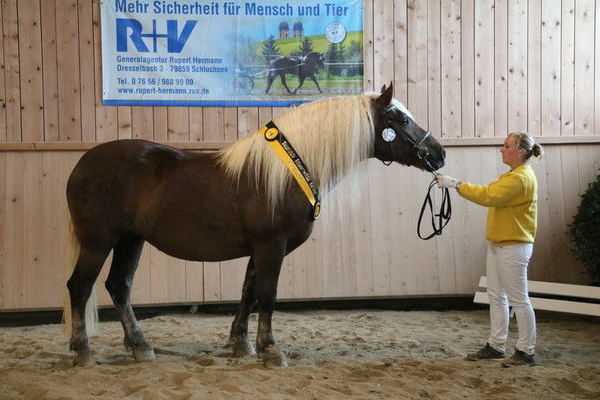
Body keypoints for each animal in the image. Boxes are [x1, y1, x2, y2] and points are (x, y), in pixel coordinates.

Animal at [64, 83, 446, 368]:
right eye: (400, 118)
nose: (439, 154)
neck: (287, 172)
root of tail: (82, 164)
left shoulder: (258, 249)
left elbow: (248, 291)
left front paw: (241, 343)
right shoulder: (270, 246)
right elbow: (267, 294)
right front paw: (270, 349)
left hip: (130, 239)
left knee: (119, 286)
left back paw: (140, 346)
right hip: (99, 241)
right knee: (80, 287)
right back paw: (83, 351)